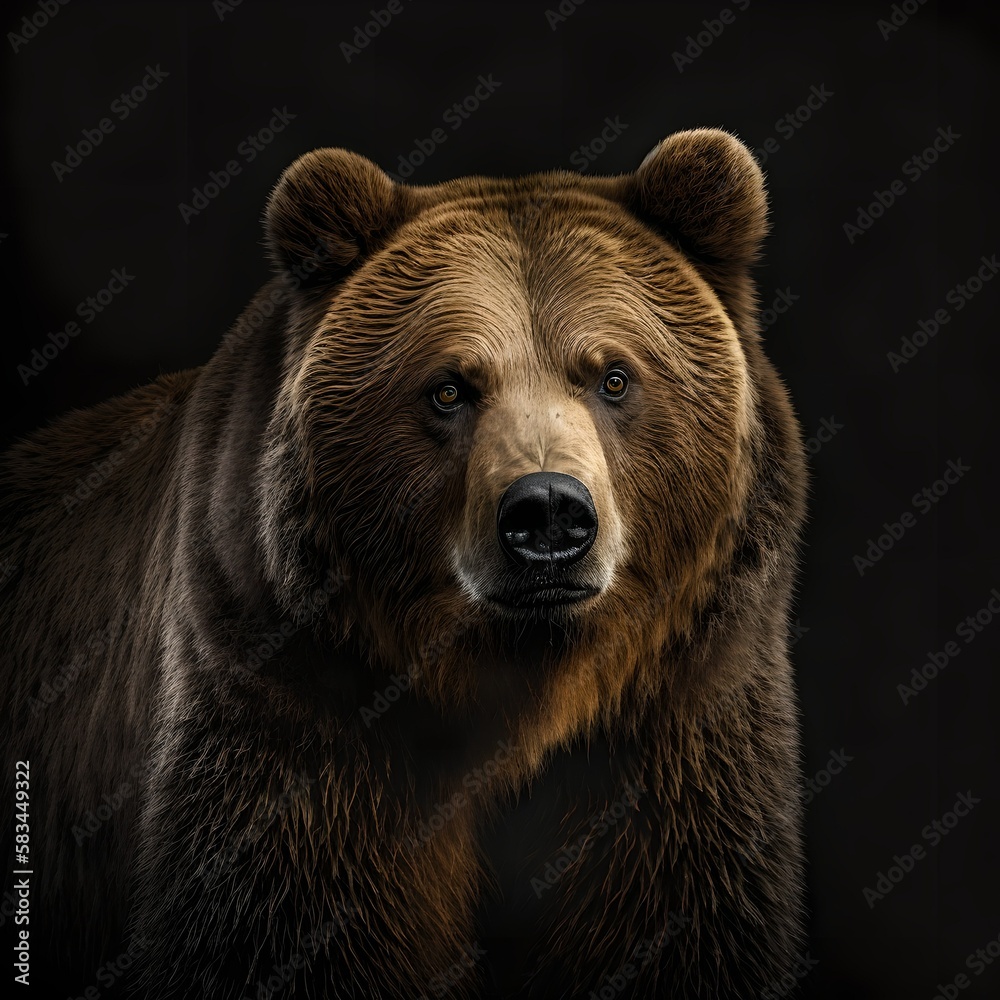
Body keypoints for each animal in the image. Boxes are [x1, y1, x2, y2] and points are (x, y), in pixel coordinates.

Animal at [1, 127, 806, 999]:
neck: (521, 685)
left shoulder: (681, 711)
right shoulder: (291, 699)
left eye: (614, 376)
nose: (548, 513)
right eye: (450, 388)